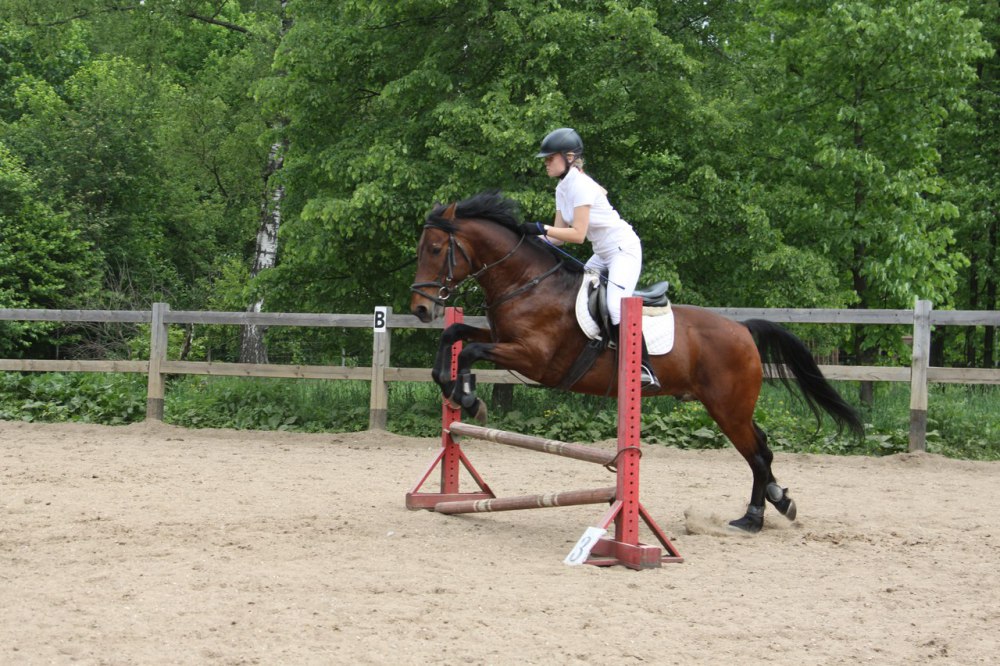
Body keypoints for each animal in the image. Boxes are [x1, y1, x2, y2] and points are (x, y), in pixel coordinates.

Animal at [410, 189, 864, 532]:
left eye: (434, 248)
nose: (420, 309)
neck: (527, 283)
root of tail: (743, 329)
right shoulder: (503, 339)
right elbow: (455, 335)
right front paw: (457, 389)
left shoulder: (534, 358)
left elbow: (469, 350)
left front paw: (468, 397)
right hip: (731, 408)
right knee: (763, 449)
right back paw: (777, 501)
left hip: (728, 408)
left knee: (756, 454)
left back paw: (754, 517)